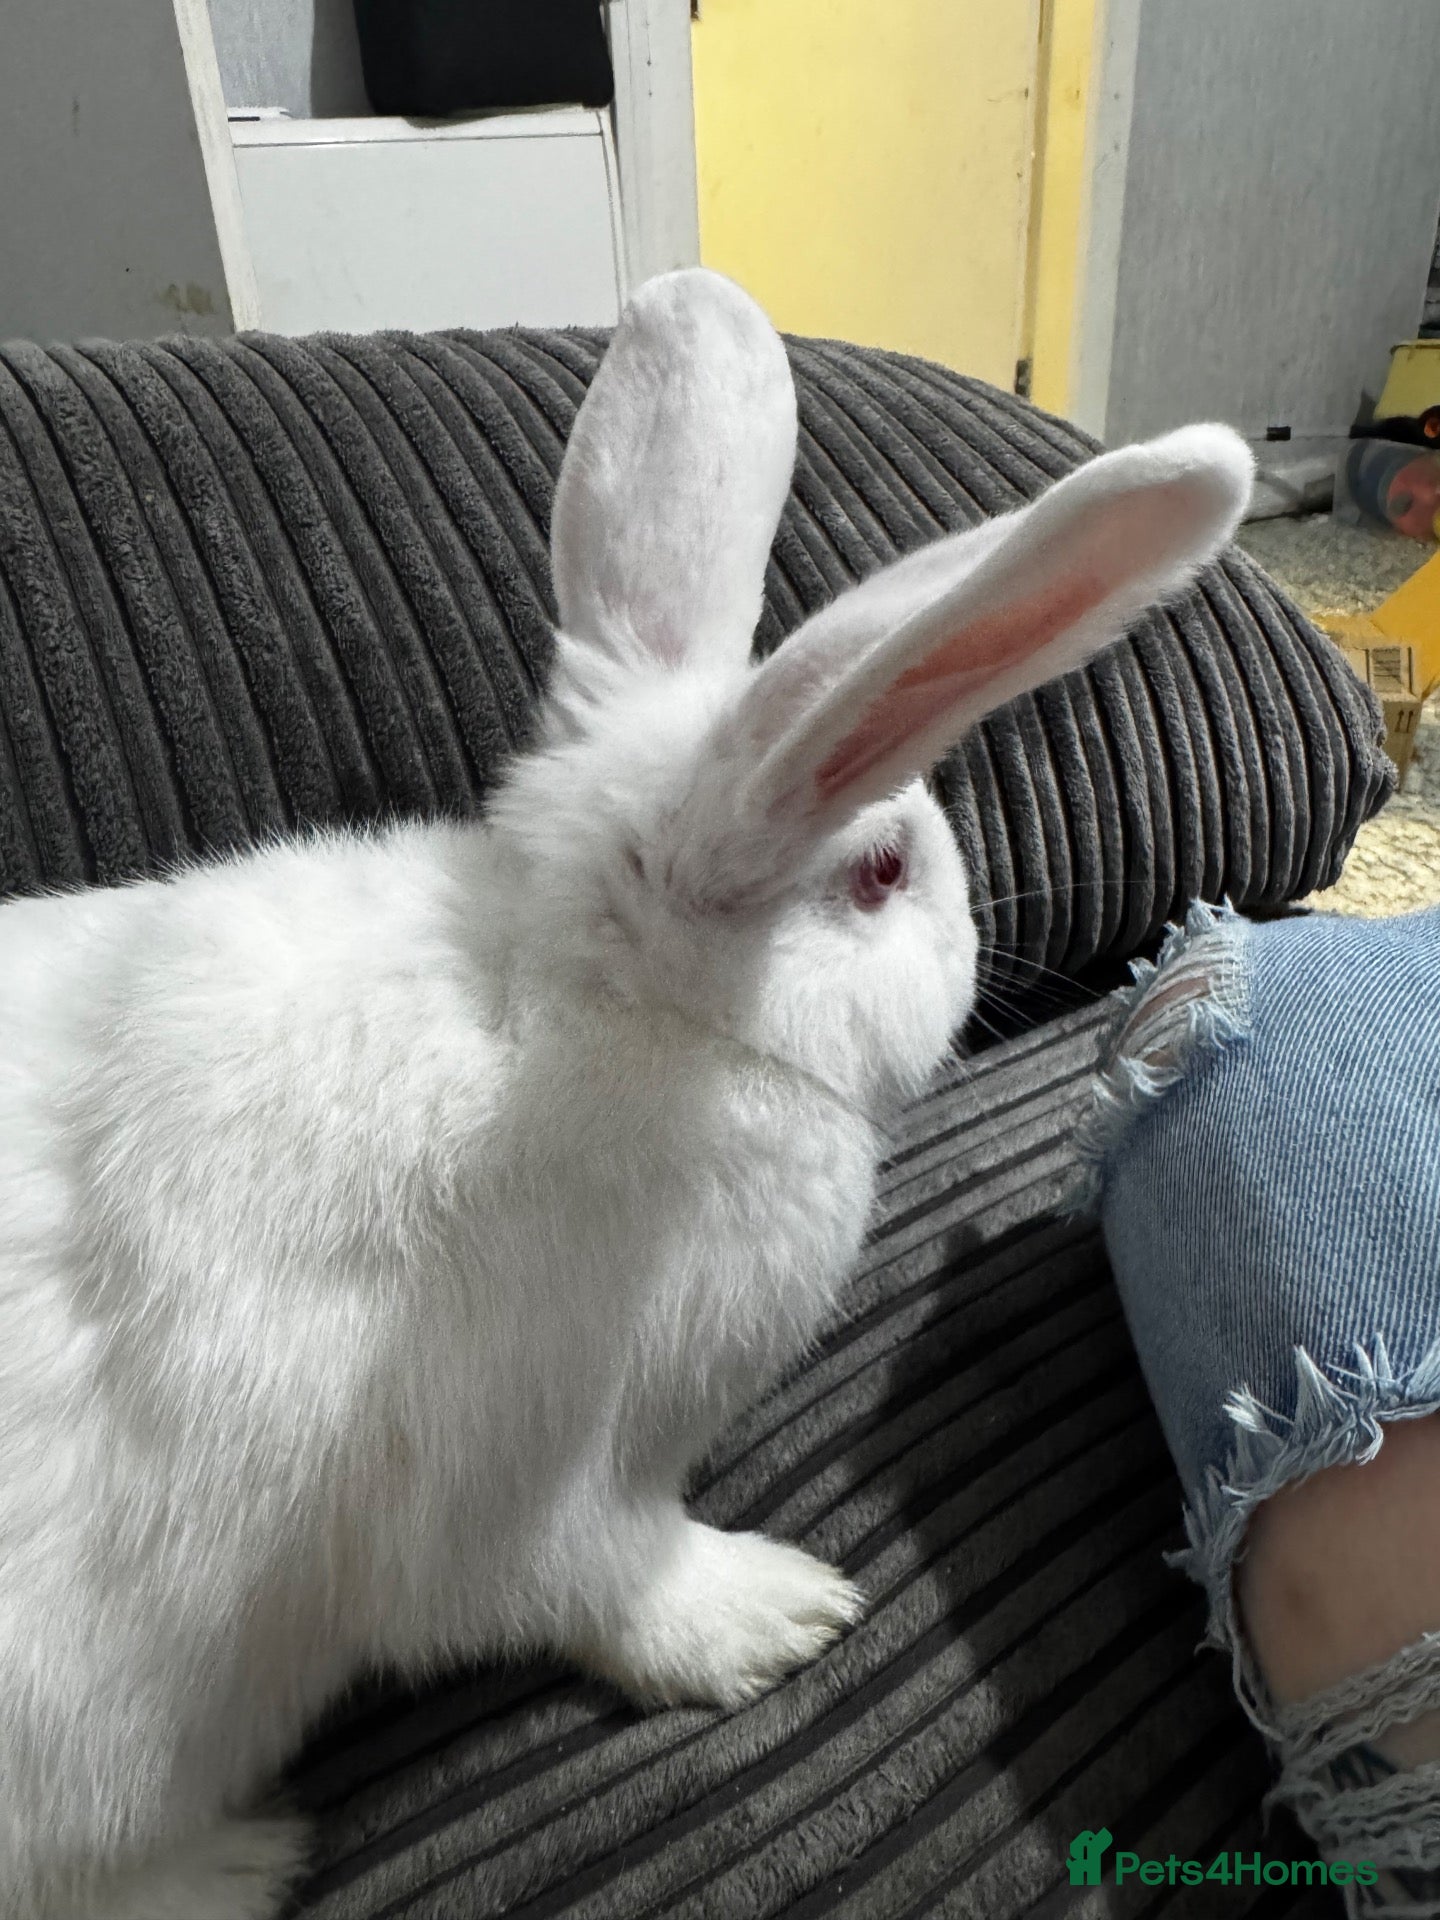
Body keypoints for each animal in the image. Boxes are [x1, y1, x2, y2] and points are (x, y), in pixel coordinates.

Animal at [0, 266, 1253, 1920]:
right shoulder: (527, 1473)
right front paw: (780, 1615)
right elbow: (596, 1582)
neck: (591, 1011)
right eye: (879, 875)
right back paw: (237, 1861)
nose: (979, 942)